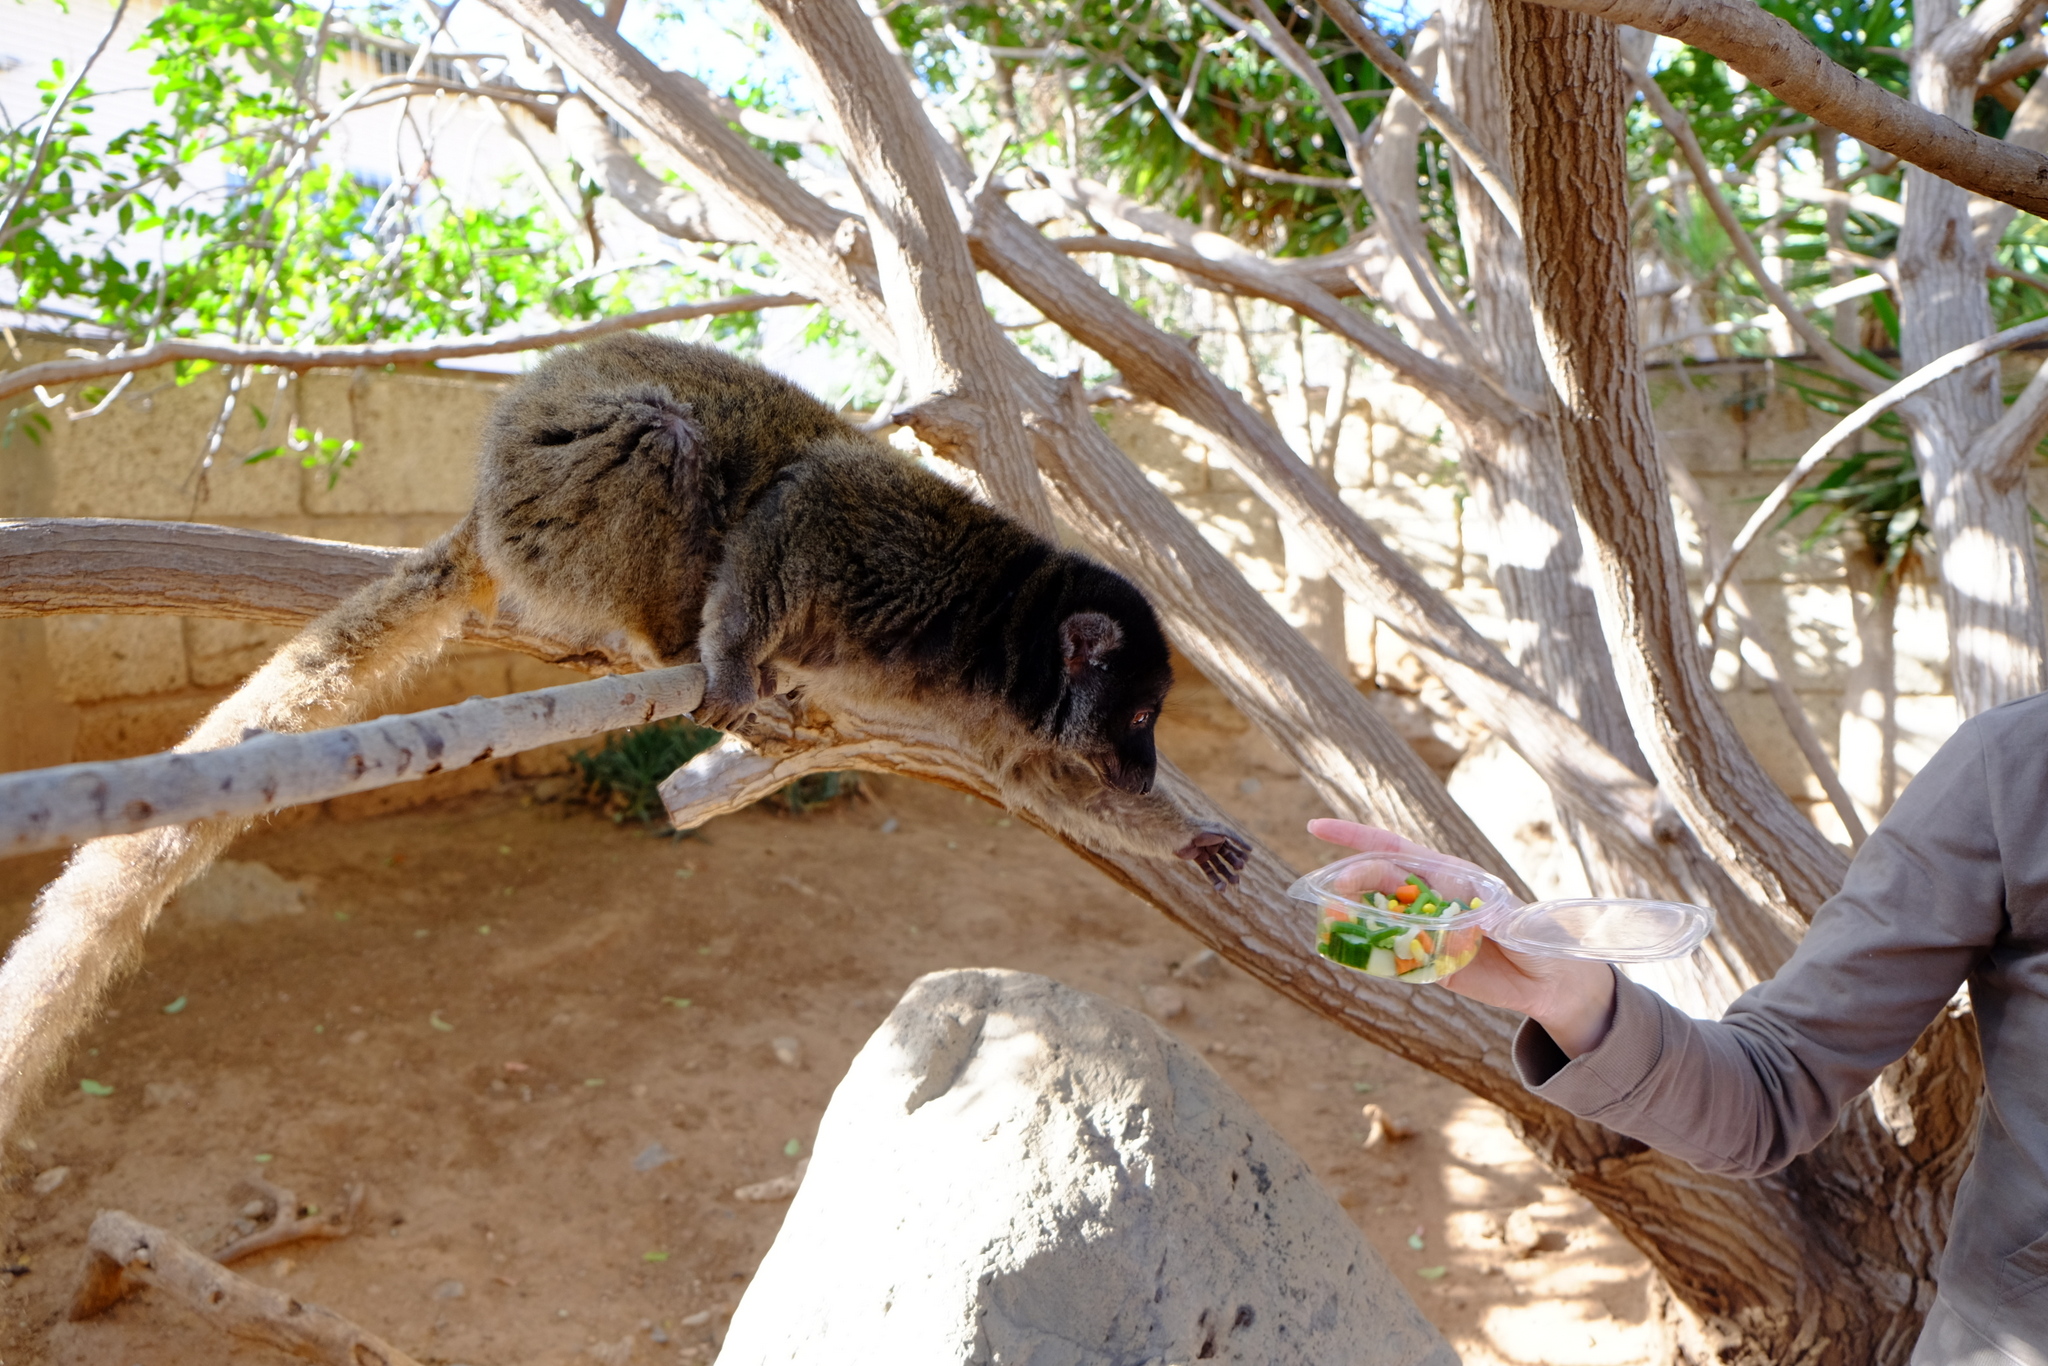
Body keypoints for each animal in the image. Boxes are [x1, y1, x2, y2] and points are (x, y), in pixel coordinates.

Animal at [0, 334, 1247, 1143]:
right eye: (1140, 716)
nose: (1144, 761)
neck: (1002, 623)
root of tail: (488, 492)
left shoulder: (997, 714)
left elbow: (1047, 782)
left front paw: (1182, 838)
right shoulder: (885, 547)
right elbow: (790, 504)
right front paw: (733, 661)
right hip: (561, 502)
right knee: (662, 437)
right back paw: (677, 644)